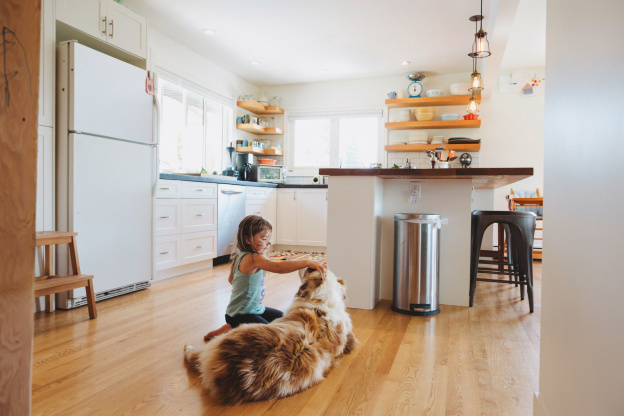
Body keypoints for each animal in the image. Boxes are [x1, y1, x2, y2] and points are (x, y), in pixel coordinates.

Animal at [184, 268, 356, 404]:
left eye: (308, 270)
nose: (306, 264)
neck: (323, 301)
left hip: (234, 332)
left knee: (194, 355)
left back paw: (189, 347)